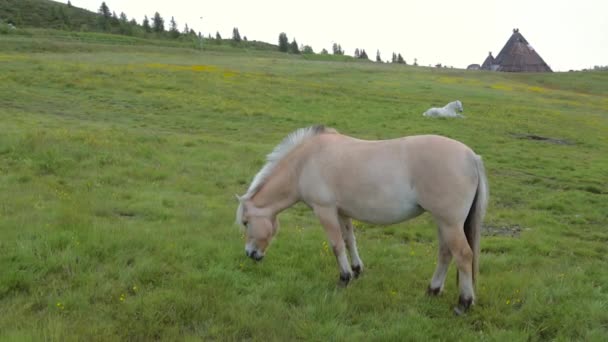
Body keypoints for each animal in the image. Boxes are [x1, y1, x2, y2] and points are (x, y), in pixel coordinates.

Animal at [235, 125, 486, 312]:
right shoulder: (342, 212)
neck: (305, 163)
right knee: (445, 254)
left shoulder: (325, 210)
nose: (250, 254)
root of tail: (471, 157)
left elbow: (336, 245)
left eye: (246, 223)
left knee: (463, 255)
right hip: (443, 223)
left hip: (450, 224)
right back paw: (432, 290)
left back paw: (463, 303)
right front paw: (356, 271)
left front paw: (344, 278)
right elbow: (349, 241)